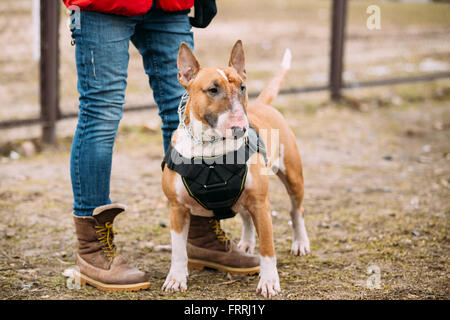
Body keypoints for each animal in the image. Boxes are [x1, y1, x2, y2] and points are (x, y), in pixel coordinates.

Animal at [159, 40, 310, 298]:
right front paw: (176, 279)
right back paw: (247, 244)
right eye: (212, 90)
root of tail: (261, 104)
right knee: (246, 217)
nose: (241, 127)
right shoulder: (177, 208)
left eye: (242, 87)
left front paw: (269, 282)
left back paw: (300, 242)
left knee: (295, 210)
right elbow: (178, 250)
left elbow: (268, 249)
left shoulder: (261, 203)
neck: (210, 147)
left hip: (292, 176)